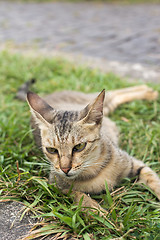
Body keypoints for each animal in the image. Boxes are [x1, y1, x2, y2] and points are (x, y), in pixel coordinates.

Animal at [24, 84, 160, 214]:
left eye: (79, 147)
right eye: (51, 150)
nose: (65, 169)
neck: (93, 172)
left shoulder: (132, 163)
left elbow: (153, 178)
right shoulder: (56, 185)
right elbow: (78, 195)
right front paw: (98, 212)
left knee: (113, 93)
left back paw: (148, 92)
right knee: (116, 97)